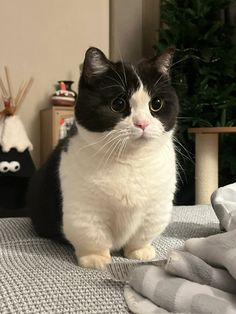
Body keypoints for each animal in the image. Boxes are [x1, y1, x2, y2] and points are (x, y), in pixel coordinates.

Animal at [27, 47, 179, 270]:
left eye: (156, 104)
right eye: (118, 103)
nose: (142, 123)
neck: (130, 161)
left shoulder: (156, 208)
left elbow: (142, 235)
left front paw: (139, 251)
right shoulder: (85, 210)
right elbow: (93, 235)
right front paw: (95, 258)